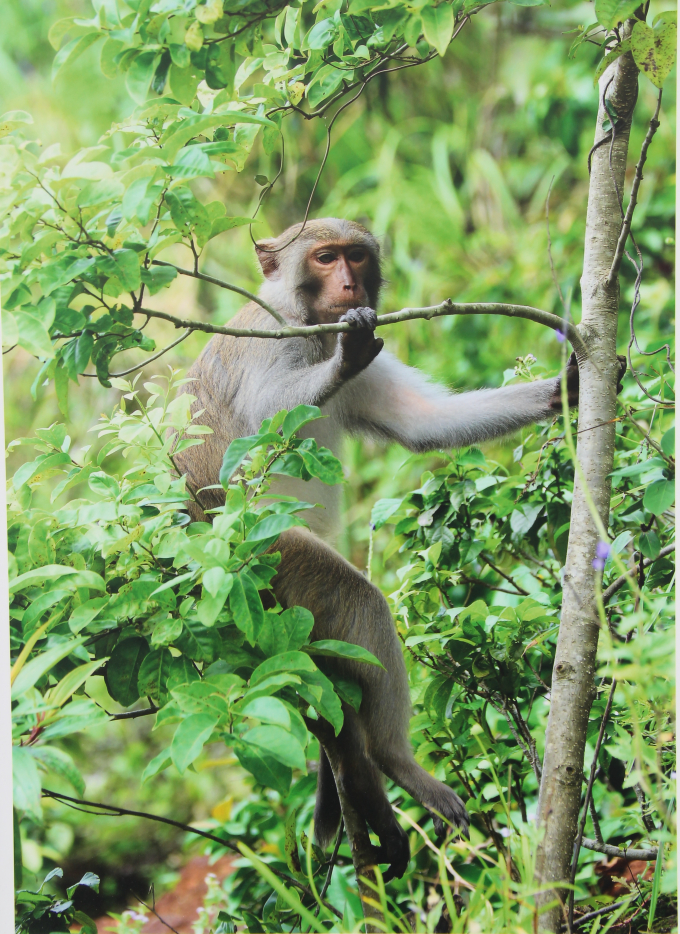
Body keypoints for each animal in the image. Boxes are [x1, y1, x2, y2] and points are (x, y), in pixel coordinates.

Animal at [174, 219, 584, 884]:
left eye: (356, 257)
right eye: (324, 257)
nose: (348, 283)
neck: (309, 326)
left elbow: (421, 423)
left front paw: (562, 388)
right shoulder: (272, 345)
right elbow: (263, 422)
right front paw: (344, 357)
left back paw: (359, 773)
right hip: (256, 555)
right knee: (357, 598)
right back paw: (393, 761)